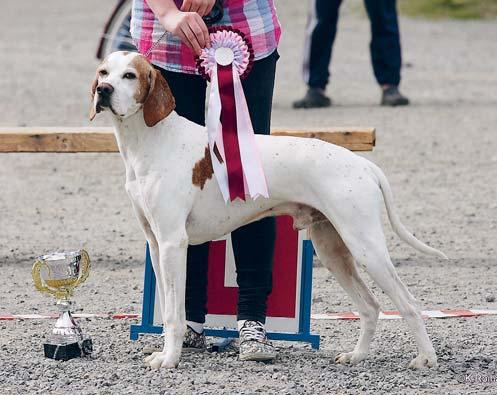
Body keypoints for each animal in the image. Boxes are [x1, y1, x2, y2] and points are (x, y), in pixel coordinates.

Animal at [90, 51, 446, 372]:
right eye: (104, 72)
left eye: (130, 76)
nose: (103, 90)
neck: (151, 139)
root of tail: (363, 164)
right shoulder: (156, 244)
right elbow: (167, 312)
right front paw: (166, 352)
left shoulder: (172, 243)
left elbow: (176, 315)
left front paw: (170, 360)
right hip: (333, 250)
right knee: (371, 307)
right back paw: (356, 356)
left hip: (366, 247)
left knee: (409, 304)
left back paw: (426, 359)